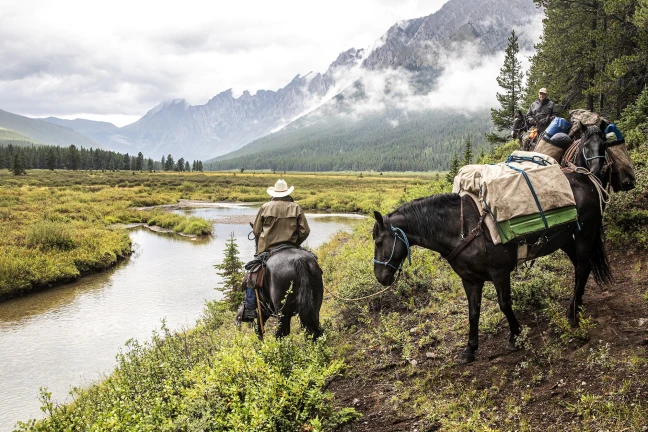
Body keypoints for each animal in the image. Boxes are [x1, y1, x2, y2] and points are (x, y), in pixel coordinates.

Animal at [372, 162, 612, 364]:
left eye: (378, 241)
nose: (380, 277)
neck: (462, 229)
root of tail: (587, 178)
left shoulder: (500, 273)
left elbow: (504, 304)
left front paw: (516, 336)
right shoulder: (470, 280)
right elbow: (473, 312)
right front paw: (470, 349)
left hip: (585, 235)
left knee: (582, 268)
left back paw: (573, 315)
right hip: (567, 240)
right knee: (582, 268)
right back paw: (576, 305)